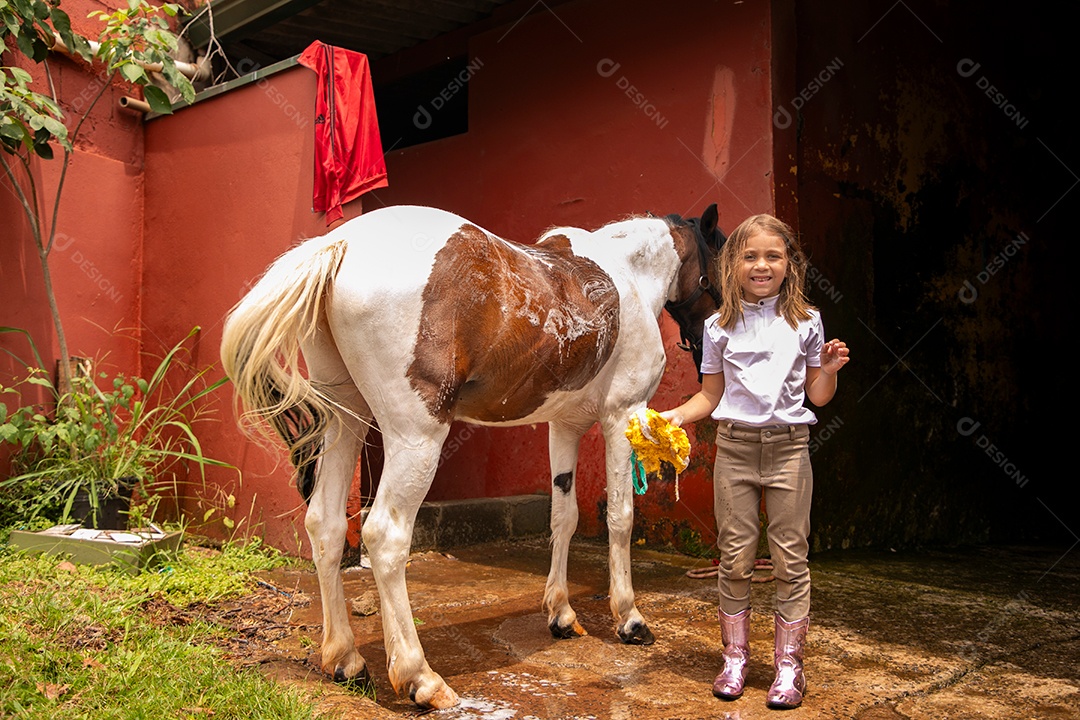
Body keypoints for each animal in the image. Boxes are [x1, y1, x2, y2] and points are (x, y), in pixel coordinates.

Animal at [220, 203, 724, 709]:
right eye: (719, 263)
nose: (709, 351)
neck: (627, 274)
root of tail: (339, 244)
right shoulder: (624, 415)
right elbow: (620, 518)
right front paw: (630, 619)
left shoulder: (564, 426)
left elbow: (564, 517)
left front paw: (561, 613)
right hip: (417, 438)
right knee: (384, 537)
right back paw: (421, 677)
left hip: (346, 420)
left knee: (324, 524)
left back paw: (345, 660)